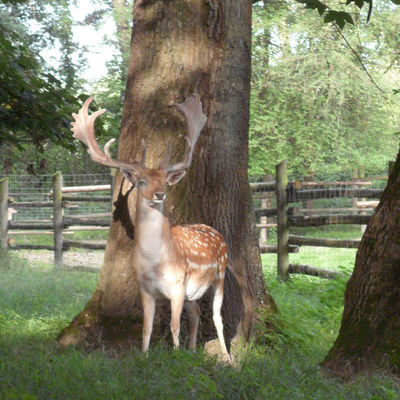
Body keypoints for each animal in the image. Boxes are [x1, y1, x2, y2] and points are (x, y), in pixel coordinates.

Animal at [70, 95, 230, 360]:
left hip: (221, 274)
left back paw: (227, 357)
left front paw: (176, 356)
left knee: (217, 317)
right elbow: (147, 326)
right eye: (142, 181)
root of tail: (215, 231)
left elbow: (174, 326)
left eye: (165, 181)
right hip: (193, 291)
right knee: (196, 314)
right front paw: (145, 355)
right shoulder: (145, 289)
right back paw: (193, 350)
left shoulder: (178, 285)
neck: (156, 262)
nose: (160, 194)